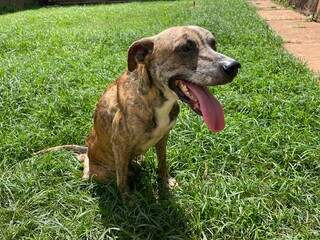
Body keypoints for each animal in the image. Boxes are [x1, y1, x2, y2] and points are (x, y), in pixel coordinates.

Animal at [35, 25, 240, 195]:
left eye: (213, 43)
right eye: (185, 48)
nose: (234, 66)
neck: (155, 99)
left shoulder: (163, 137)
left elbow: (162, 162)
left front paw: (165, 183)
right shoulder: (119, 144)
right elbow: (122, 180)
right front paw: (128, 201)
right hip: (98, 171)